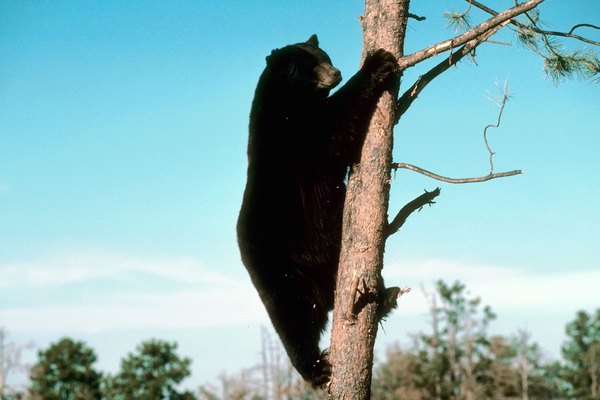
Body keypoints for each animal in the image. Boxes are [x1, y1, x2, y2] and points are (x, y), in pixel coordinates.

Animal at [238, 35, 398, 388]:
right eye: (310, 65)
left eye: (325, 55)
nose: (336, 72)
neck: (287, 102)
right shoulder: (293, 141)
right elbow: (332, 130)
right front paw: (376, 64)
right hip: (279, 269)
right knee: (293, 319)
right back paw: (314, 368)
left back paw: (384, 296)